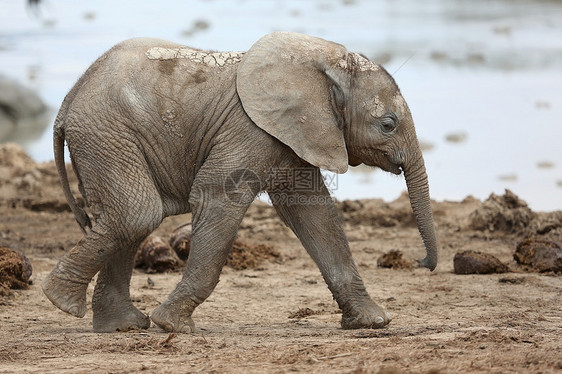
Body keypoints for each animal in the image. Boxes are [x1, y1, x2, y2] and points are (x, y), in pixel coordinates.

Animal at [43, 30, 438, 332]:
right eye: (388, 124)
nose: (422, 263)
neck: (324, 63)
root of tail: (68, 100)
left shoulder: (293, 134)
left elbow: (314, 212)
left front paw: (373, 323)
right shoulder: (249, 130)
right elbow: (217, 196)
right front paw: (173, 326)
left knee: (127, 219)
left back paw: (120, 326)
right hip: (106, 132)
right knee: (137, 214)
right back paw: (61, 301)